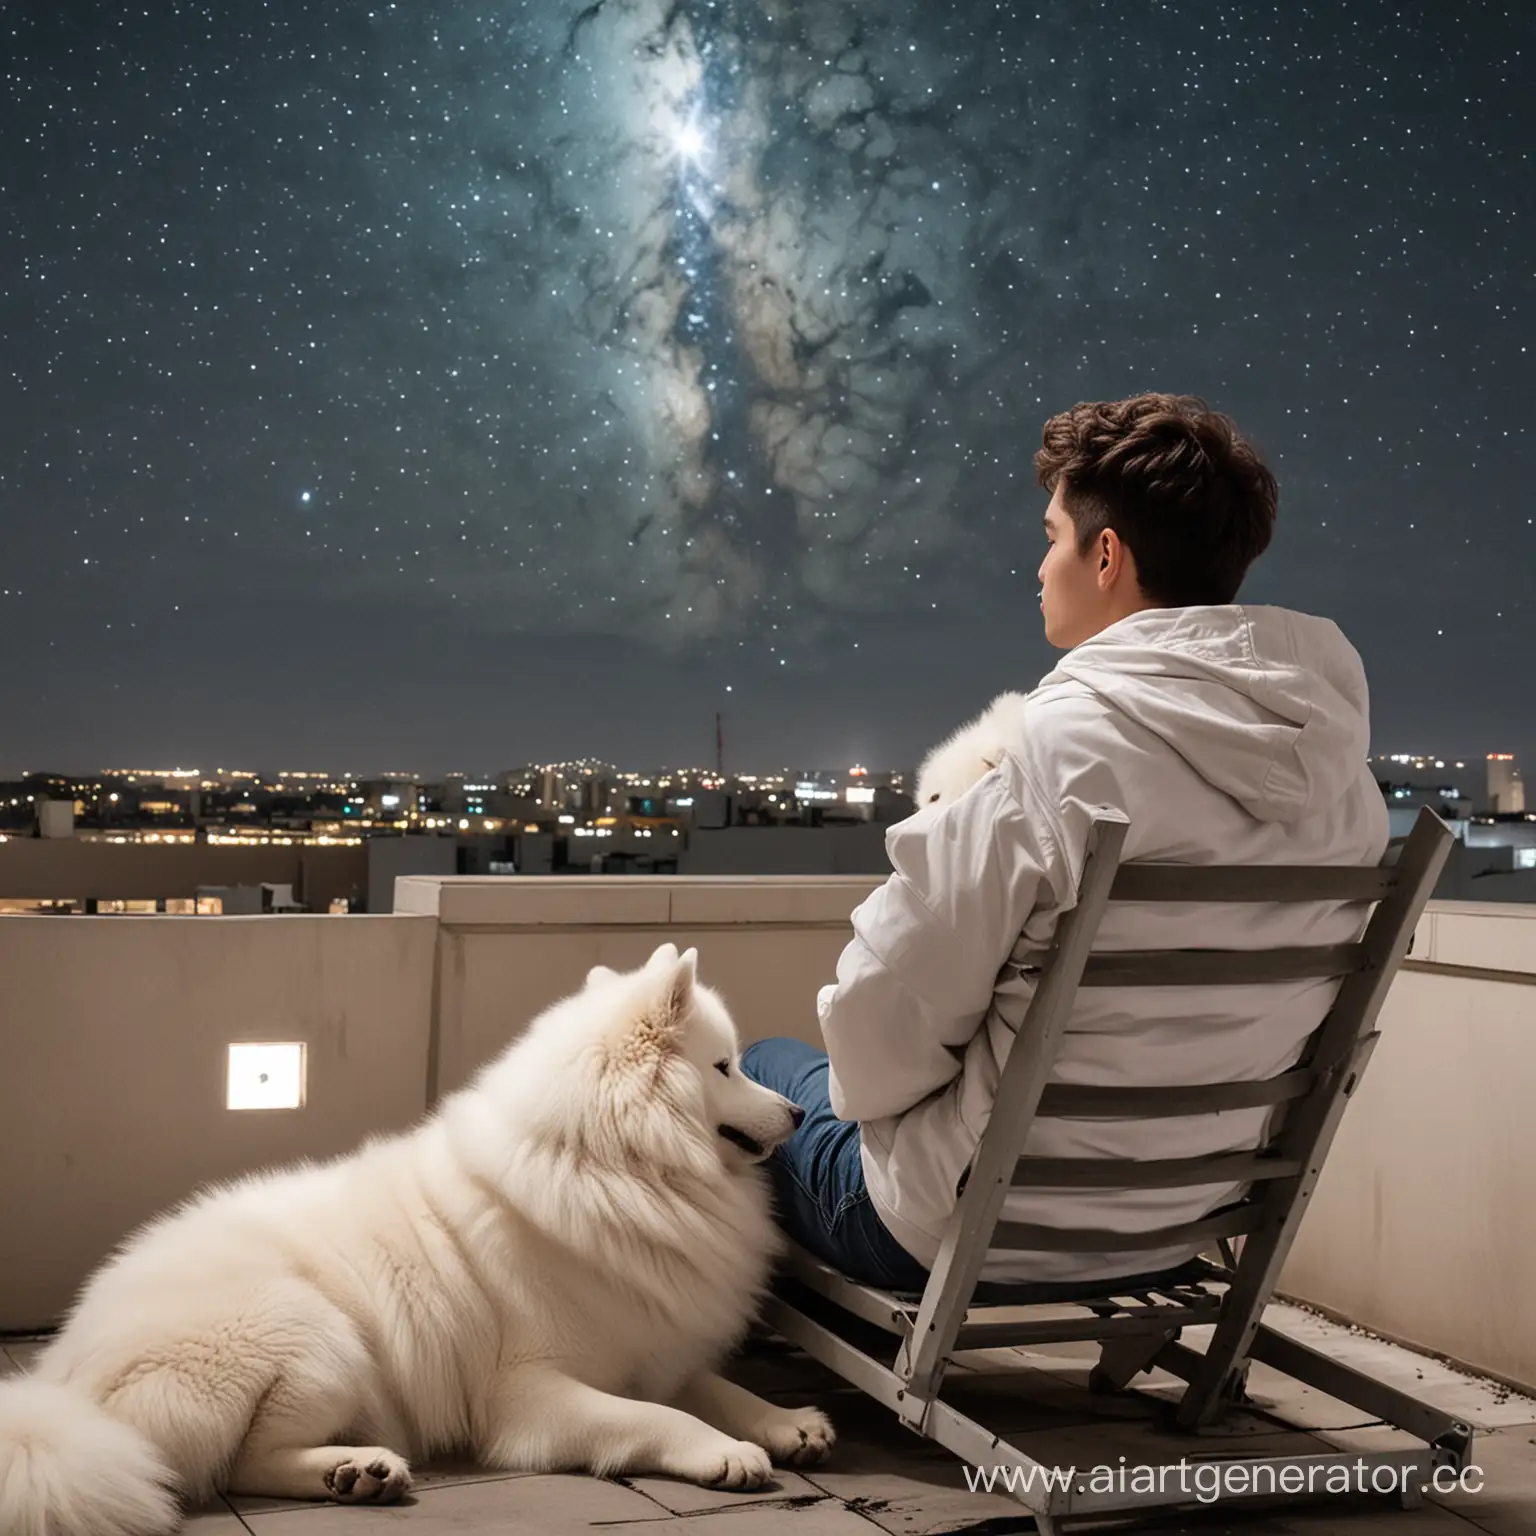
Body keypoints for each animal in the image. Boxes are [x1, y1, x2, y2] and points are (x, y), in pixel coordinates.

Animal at [0, 940, 835, 1529]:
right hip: (318, 1335)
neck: (612, 1164)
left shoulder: (652, 1345)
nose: (800, 1113)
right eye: (724, 1067)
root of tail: (60, 1382)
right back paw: (355, 1468)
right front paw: (724, 1452)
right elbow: (657, 1417)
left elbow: (715, 1386)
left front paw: (787, 1423)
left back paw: (354, 1476)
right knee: (242, 1463)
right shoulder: (531, 1396)